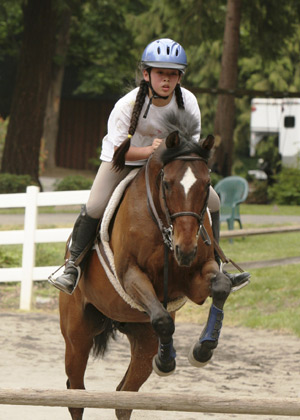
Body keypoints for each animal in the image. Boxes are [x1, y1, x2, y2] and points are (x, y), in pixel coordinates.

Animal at [59, 112, 232, 420]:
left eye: (206, 185)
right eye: (168, 184)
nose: (185, 250)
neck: (163, 225)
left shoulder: (196, 278)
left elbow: (221, 287)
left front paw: (203, 350)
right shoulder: (130, 276)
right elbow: (162, 318)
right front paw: (166, 360)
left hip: (141, 337)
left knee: (123, 397)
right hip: (77, 337)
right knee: (76, 393)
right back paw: (68, 275)